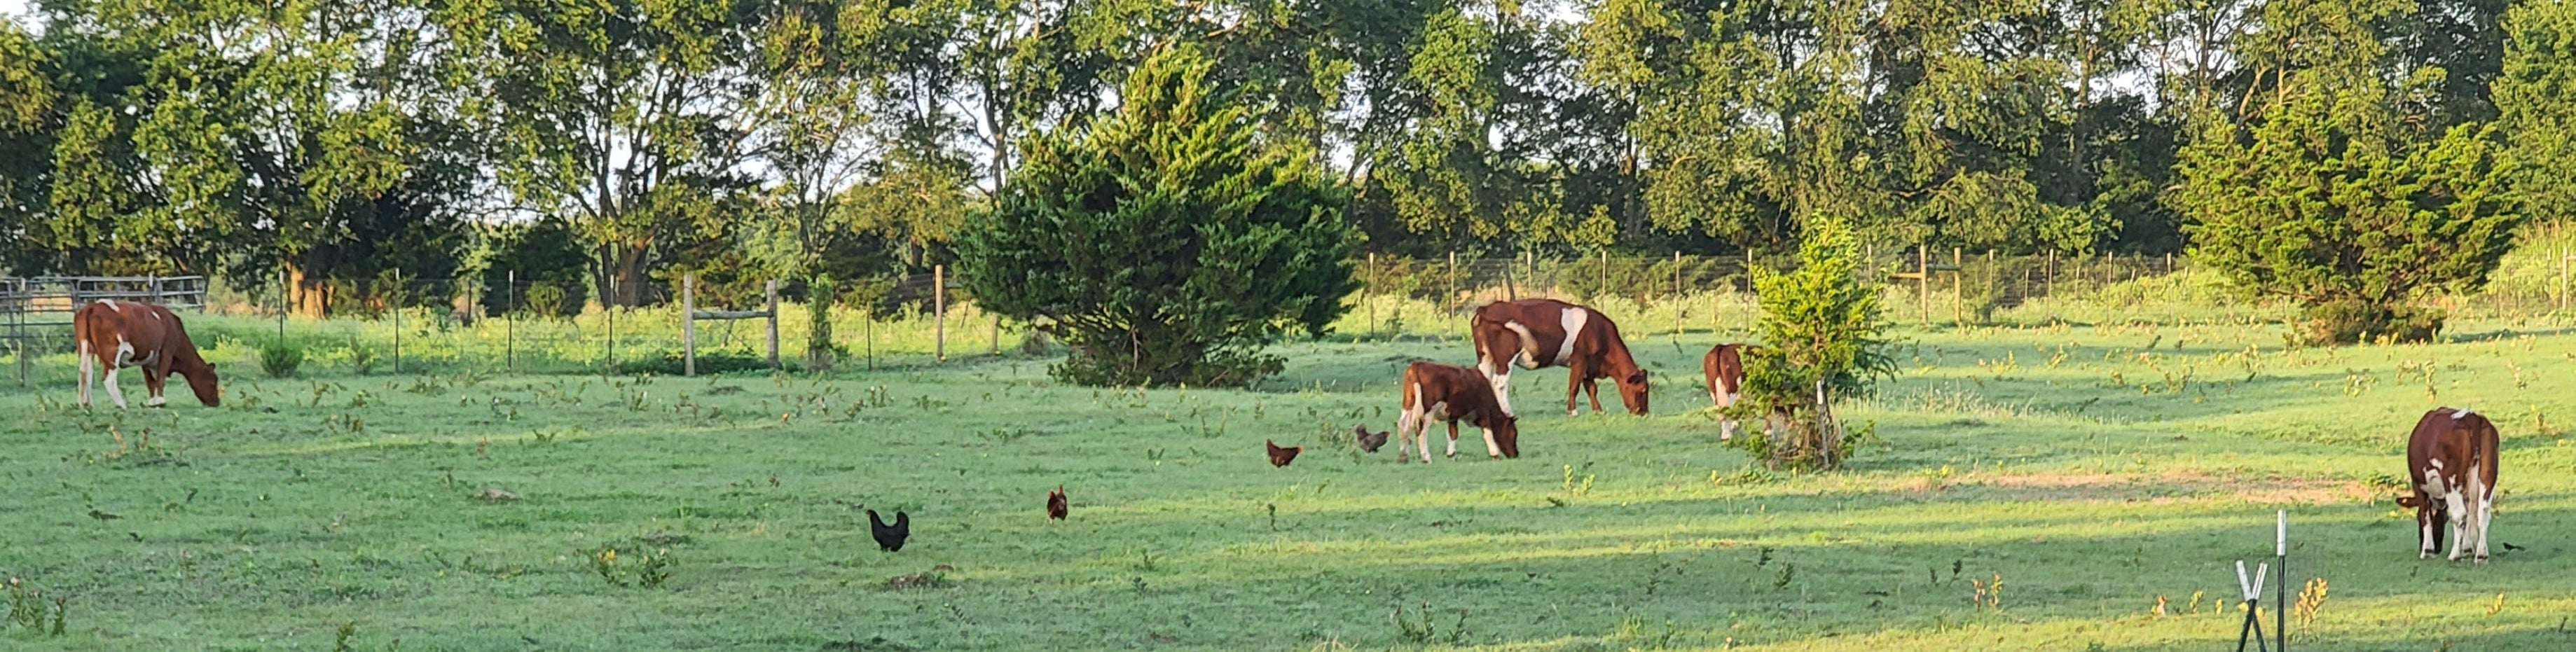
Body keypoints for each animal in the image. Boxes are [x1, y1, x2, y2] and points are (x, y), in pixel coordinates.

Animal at [73, 300, 220, 409]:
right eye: (213, 382)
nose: (216, 403)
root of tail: (93, 306)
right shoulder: (166, 352)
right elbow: (160, 378)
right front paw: (161, 401)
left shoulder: (147, 359)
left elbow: (150, 381)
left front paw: (152, 402)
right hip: (111, 353)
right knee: (108, 378)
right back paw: (121, 404)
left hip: (86, 349)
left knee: (85, 374)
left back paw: (87, 404)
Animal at [1395, 361, 1521, 463]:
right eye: (1514, 433)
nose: (1515, 454)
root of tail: (1416, 365)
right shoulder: (1483, 412)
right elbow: (1488, 432)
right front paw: (1495, 455)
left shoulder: (1453, 416)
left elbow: (1453, 434)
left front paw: (1451, 456)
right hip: (1428, 410)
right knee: (1421, 431)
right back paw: (1426, 458)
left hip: (1408, 405)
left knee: (1402, 426)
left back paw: (1403, 457)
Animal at [1471, 298, 1647, 417]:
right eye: (1643, 390)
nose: (1644, 413)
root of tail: (1486, 308)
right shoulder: (1579, 360)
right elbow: (1574, 386)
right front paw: (1573, 411)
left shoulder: (1588, 366)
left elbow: (1591, 388)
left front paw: (1598, 410)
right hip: (1505, 358)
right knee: (1499, 383)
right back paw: (1508, 412)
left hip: (1485, 356)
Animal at [2396, 407, 2500, 563]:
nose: (2438, 548)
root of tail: (2472, 418)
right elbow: (2470, 514)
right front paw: (2468, 549)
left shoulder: (2418, 485)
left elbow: (2425, 515)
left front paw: (2427, 550)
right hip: (2488, 476)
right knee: (2483, 513)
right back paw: (2481, 555)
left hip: (2451, 480)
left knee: (2460, 515)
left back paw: (2454, 555)